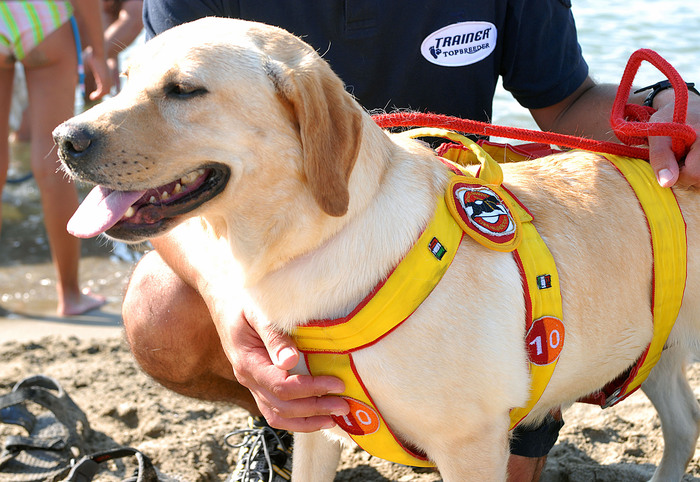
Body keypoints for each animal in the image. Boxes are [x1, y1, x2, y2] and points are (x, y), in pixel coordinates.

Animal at [54, 17, 700, 480]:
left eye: (184, 90)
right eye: (125, 81)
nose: (66, 138)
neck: (318, 237)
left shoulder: (471, 444)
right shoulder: (314, 426)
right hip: (652, 347)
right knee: (685, 424)